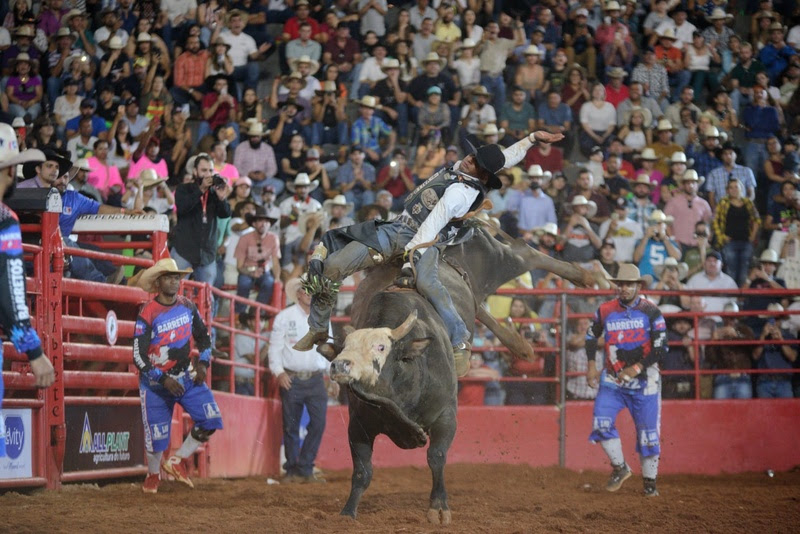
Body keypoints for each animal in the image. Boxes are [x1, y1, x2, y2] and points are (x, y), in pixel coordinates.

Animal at [318, 224, 592, 524]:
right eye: (346, 348)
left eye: (381, 348)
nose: (341, 366)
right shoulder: (358, 425)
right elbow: (362, 471)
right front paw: (347, 512)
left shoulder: (446, 415)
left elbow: (436, 456)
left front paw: (439, 508)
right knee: (481, 306)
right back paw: (522, 345)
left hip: (492, 258)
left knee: (523, 253)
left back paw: (586, 276)